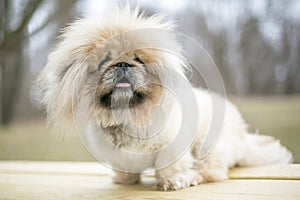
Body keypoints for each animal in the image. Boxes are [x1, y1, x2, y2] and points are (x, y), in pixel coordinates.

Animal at [34, 5, 292, 191]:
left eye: (139, 60)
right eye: (104, 61)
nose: (122, 64)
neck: (129, 115)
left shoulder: (173, 147)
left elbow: (169, 167)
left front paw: (172, 181)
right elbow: (124, 167)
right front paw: (125, 179)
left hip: (208, 146)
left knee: (210, 171)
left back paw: (191, 177)